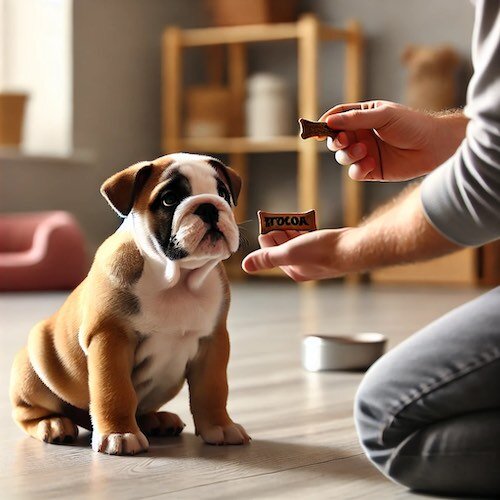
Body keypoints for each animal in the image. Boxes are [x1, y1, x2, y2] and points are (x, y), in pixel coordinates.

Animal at [7, 154, 250, 456]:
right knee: (26, 412)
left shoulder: (212, 343)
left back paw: (158, 420)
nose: (208, 205)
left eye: (223, 194)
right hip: (33, 370)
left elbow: (213, 390)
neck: (176, 278)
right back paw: (52, 424)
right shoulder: (111, 340)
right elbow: (116, 391)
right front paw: (119, 434)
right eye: (169, 199)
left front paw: (220, 427)